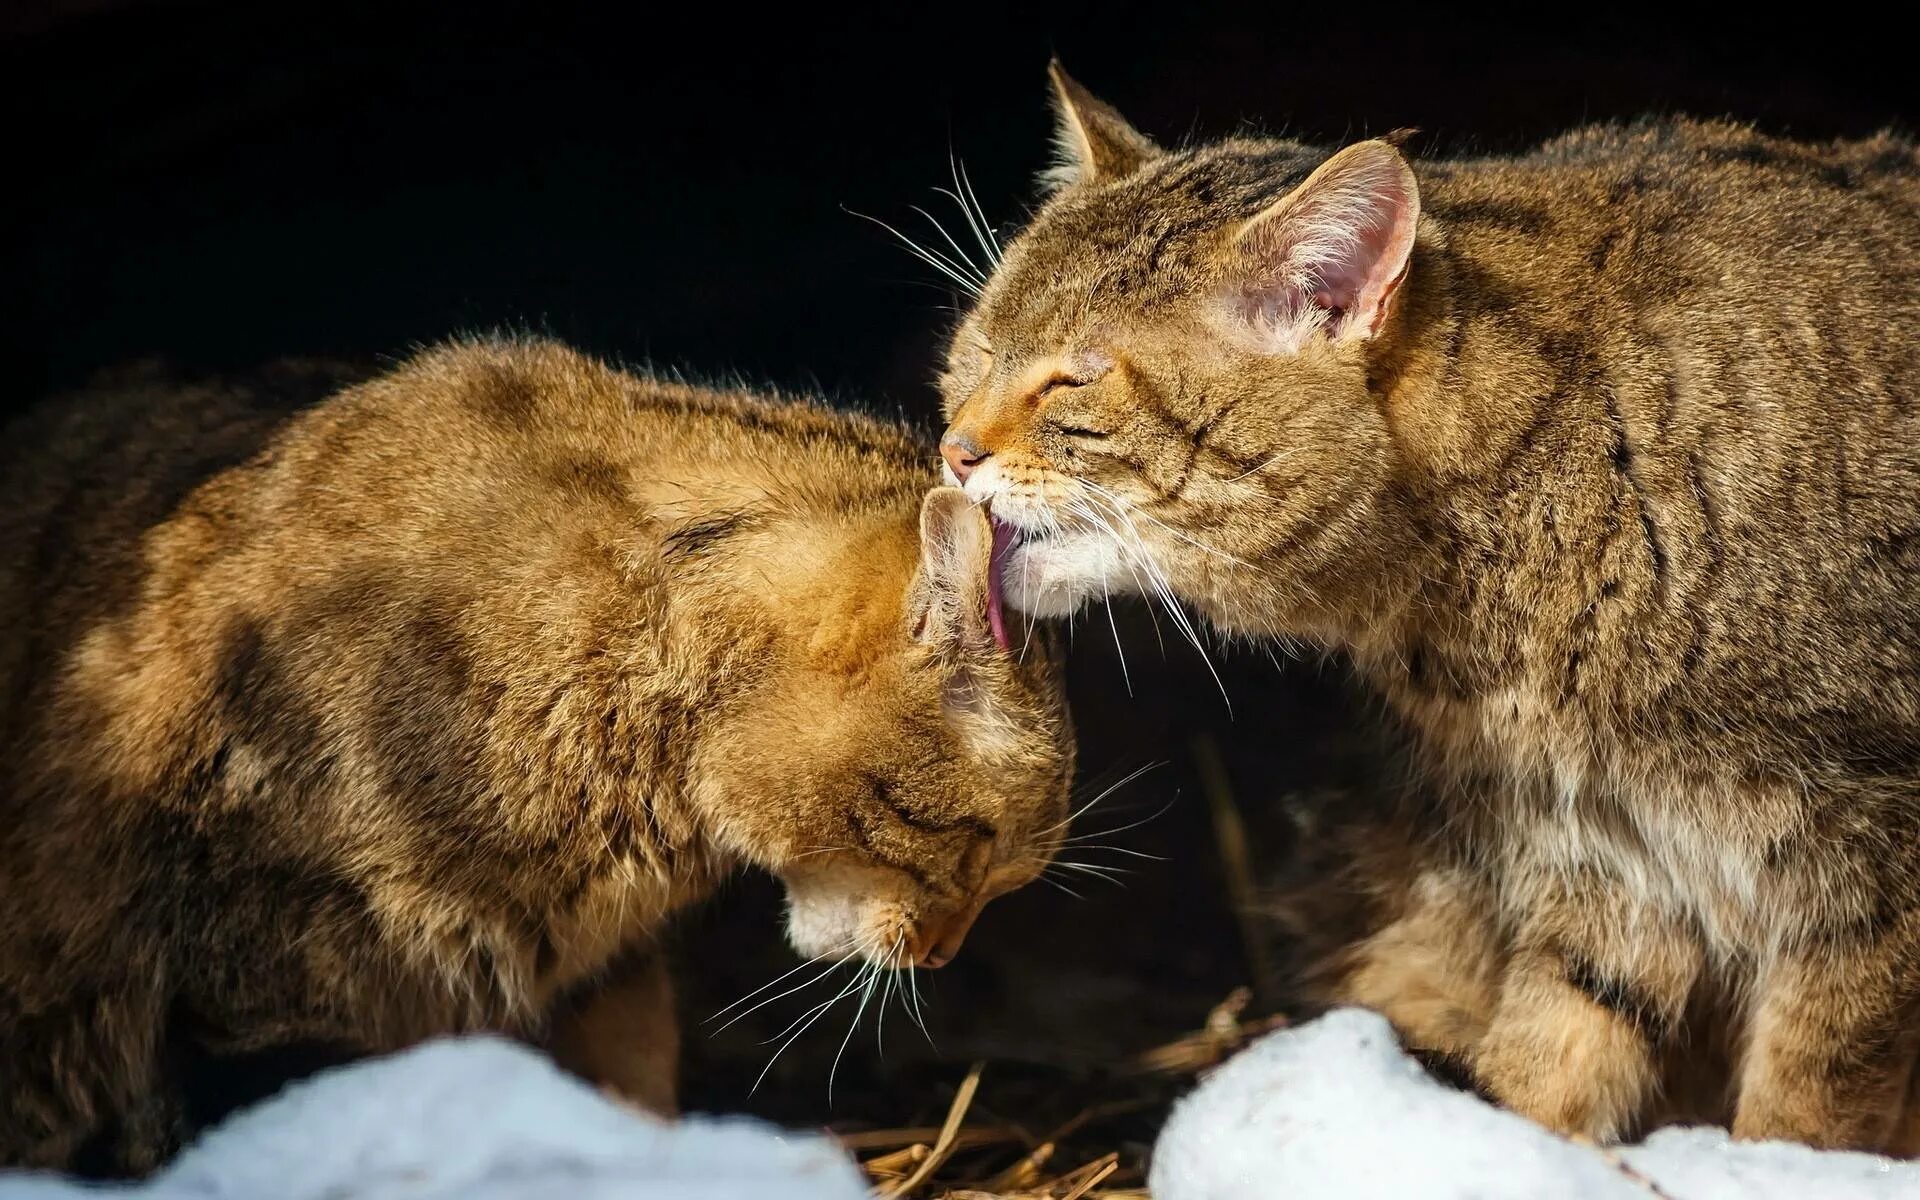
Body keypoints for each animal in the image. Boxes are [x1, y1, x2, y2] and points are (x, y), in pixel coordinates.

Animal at [936, 63, 1920, 1152]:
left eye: (1073, 380)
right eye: (976, 350)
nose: (954, 448)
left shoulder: (1870, 875)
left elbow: (1810, 1109)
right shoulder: (1615, 862)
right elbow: (1551, 1054)